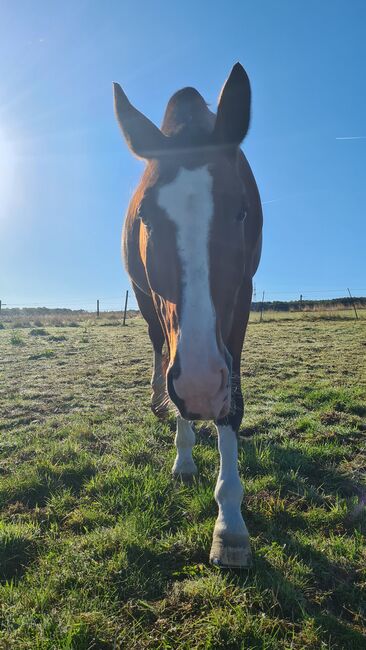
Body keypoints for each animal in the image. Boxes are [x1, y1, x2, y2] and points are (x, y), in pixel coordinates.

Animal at [113, 63, 262, 564]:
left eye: (241, 212)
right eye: (146, 217)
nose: (199, 387)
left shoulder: (241, 299)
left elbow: (232, 403)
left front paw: (230, 522)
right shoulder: (162, 311)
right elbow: (171, 368)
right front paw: (184, 457)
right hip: (143, 304)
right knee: (160, 353)